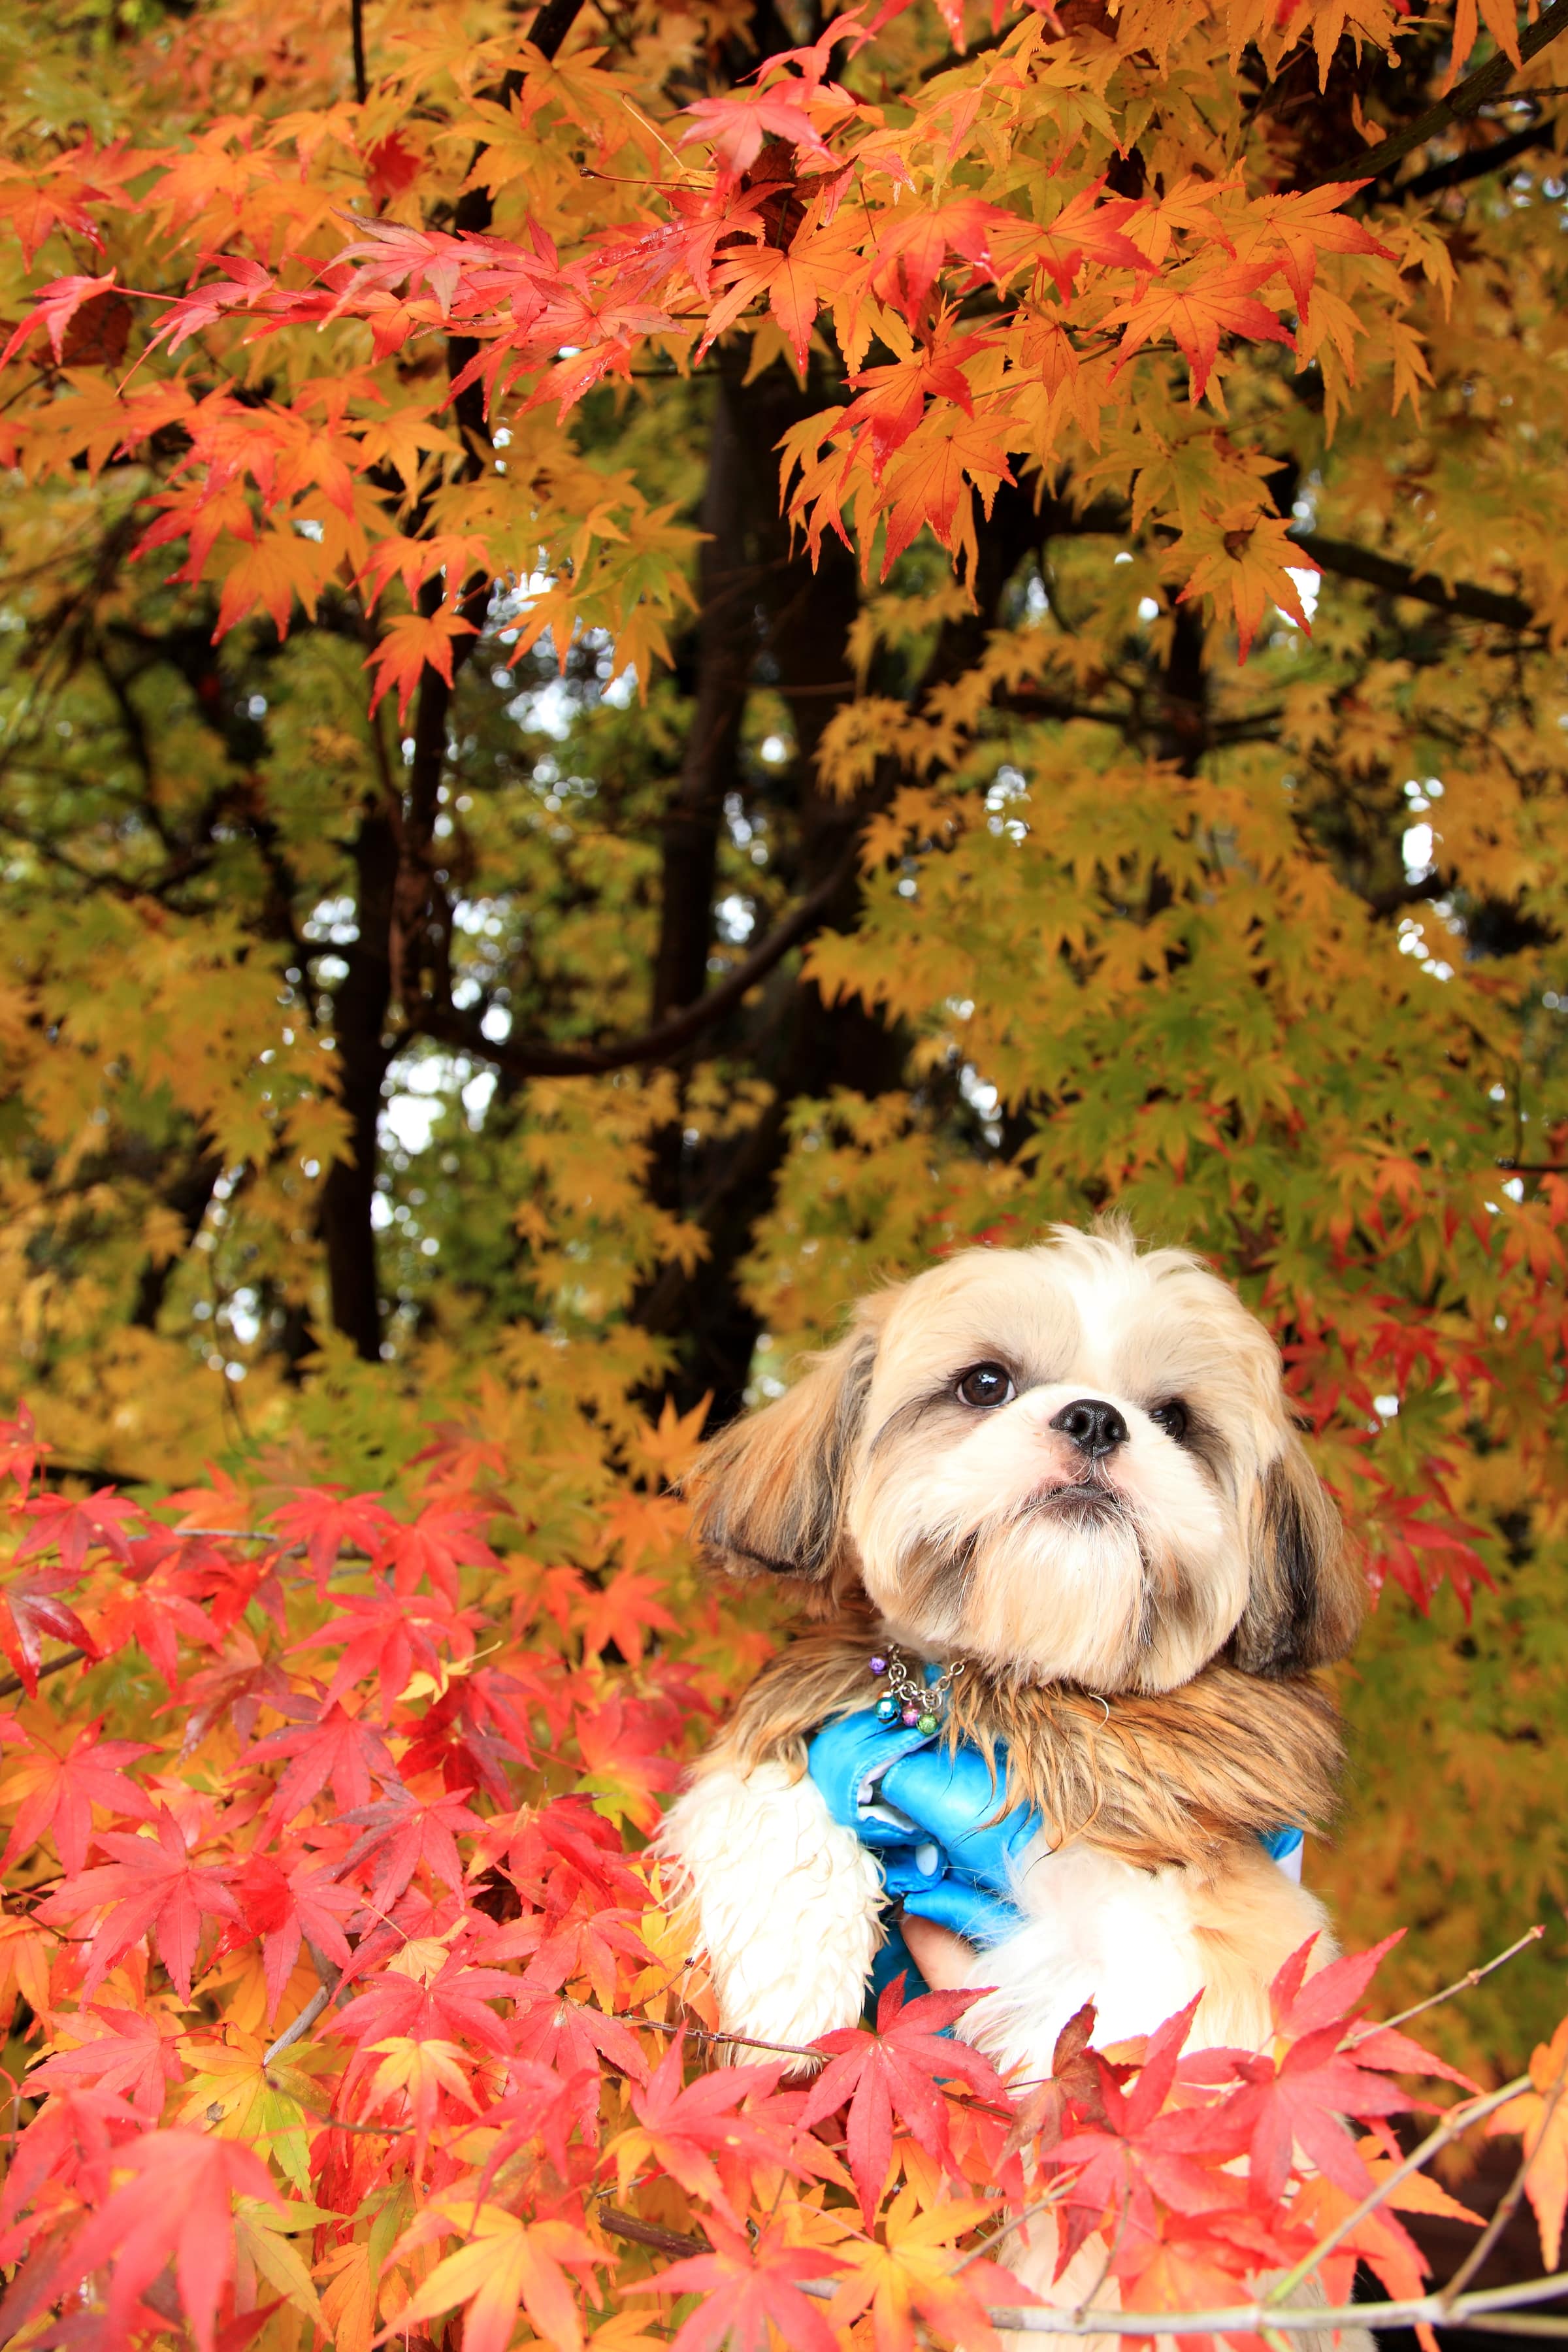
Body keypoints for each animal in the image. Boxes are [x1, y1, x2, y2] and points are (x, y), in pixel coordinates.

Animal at [662, 1232, 1363, 2079]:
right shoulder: (840, 1719)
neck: (1006, 1693)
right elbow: (775, 1787)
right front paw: (790, 1977)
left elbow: (1154, 2009)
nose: (1096, 1420)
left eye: (1174, 1418)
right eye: (985, 1383)